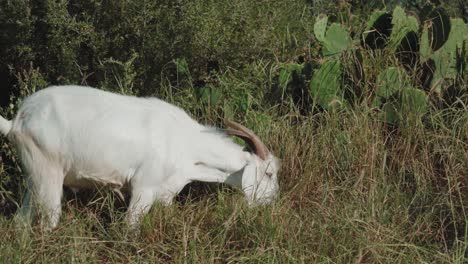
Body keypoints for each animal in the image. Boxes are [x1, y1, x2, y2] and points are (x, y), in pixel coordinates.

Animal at [0, 86, 278, 229]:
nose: (272, 202)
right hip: (49, 173)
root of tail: (18, 119)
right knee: (49, 220)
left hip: (34, 175)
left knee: (21, 220)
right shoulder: (144, 187)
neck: (187, 144)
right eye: (269, 173)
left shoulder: (166, 193)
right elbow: (130, 227)